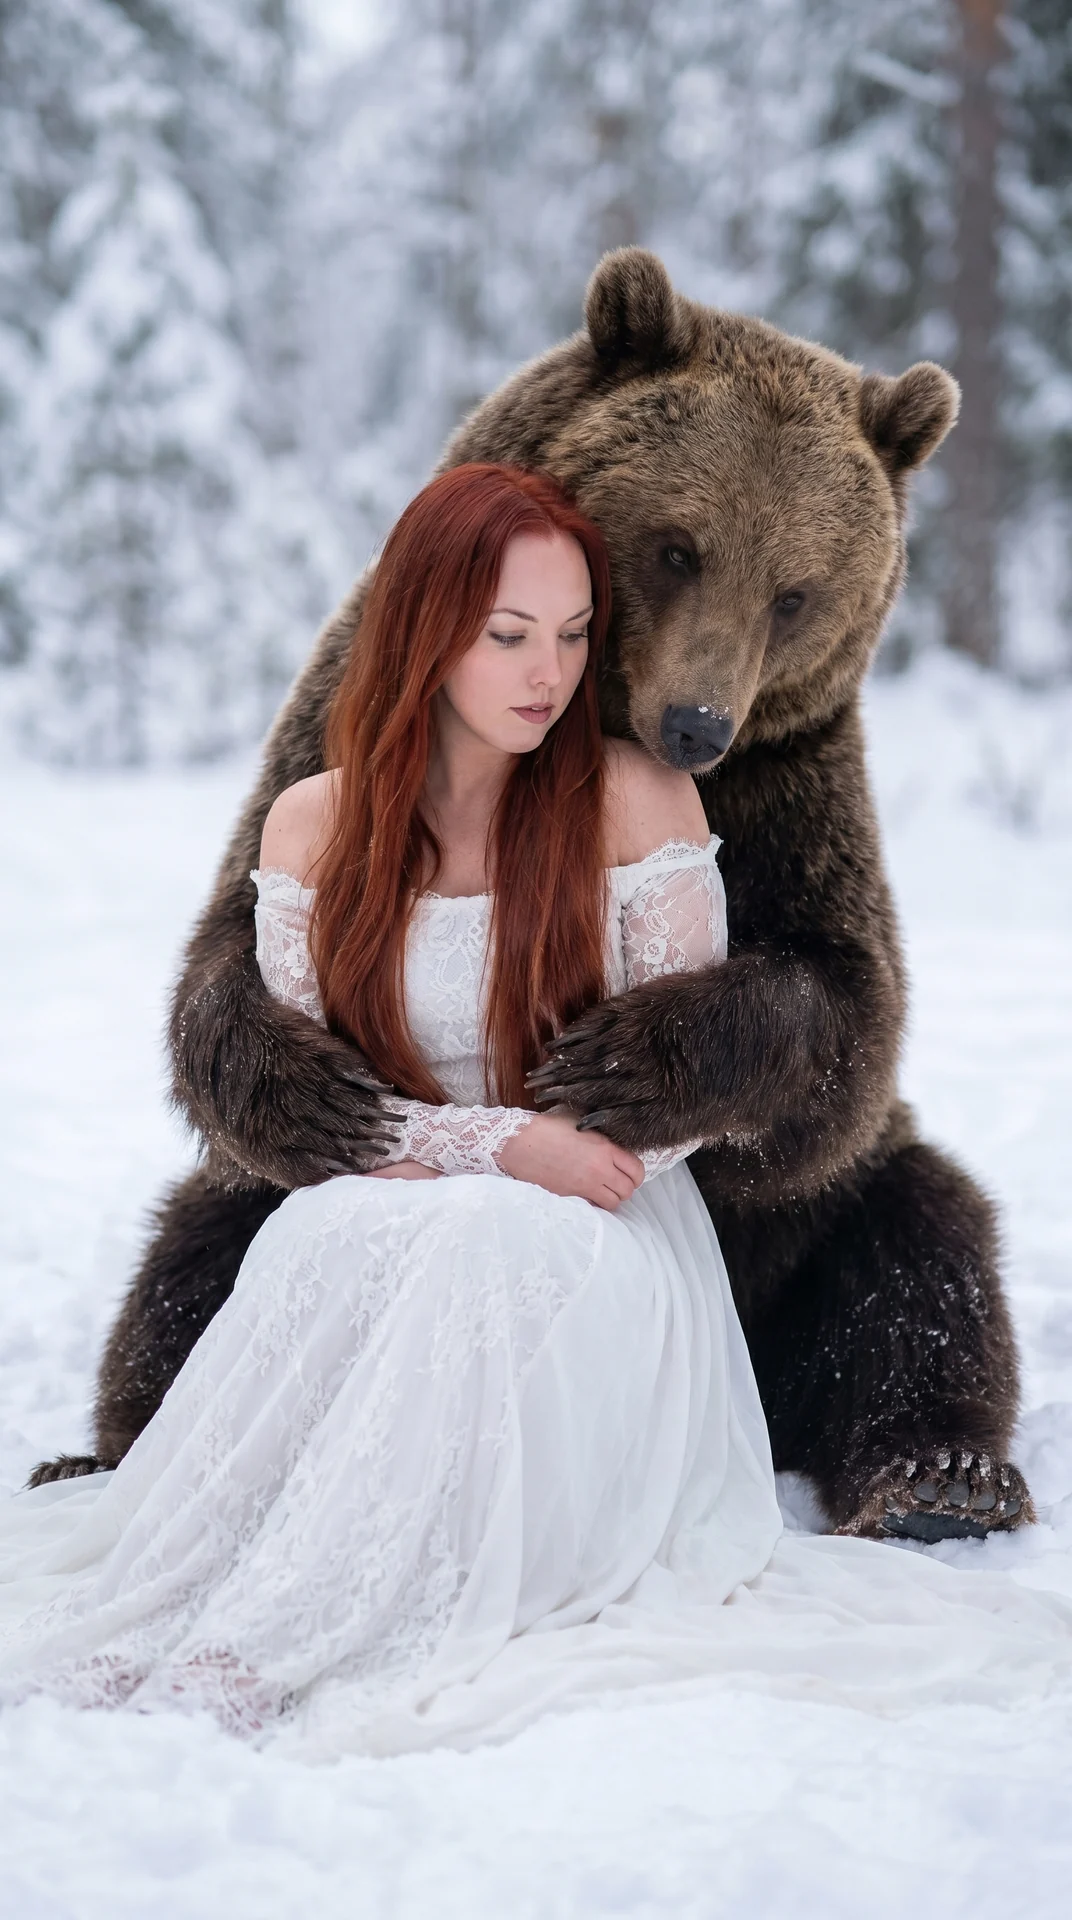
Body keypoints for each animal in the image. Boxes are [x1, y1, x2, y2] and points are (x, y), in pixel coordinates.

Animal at [33, 248, 1031, 1543]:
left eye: (797, 592)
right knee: (191, 1261)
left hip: (813, 1237)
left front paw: (624, 1063)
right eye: (678, 546)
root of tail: (761, 1413)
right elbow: (228, 951)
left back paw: (940, 1476)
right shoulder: (333, 739)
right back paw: (101, 1458)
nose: (695, 725)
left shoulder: (790, 792)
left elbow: (843, 1013)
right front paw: (308, 1084)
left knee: (918, 1247)